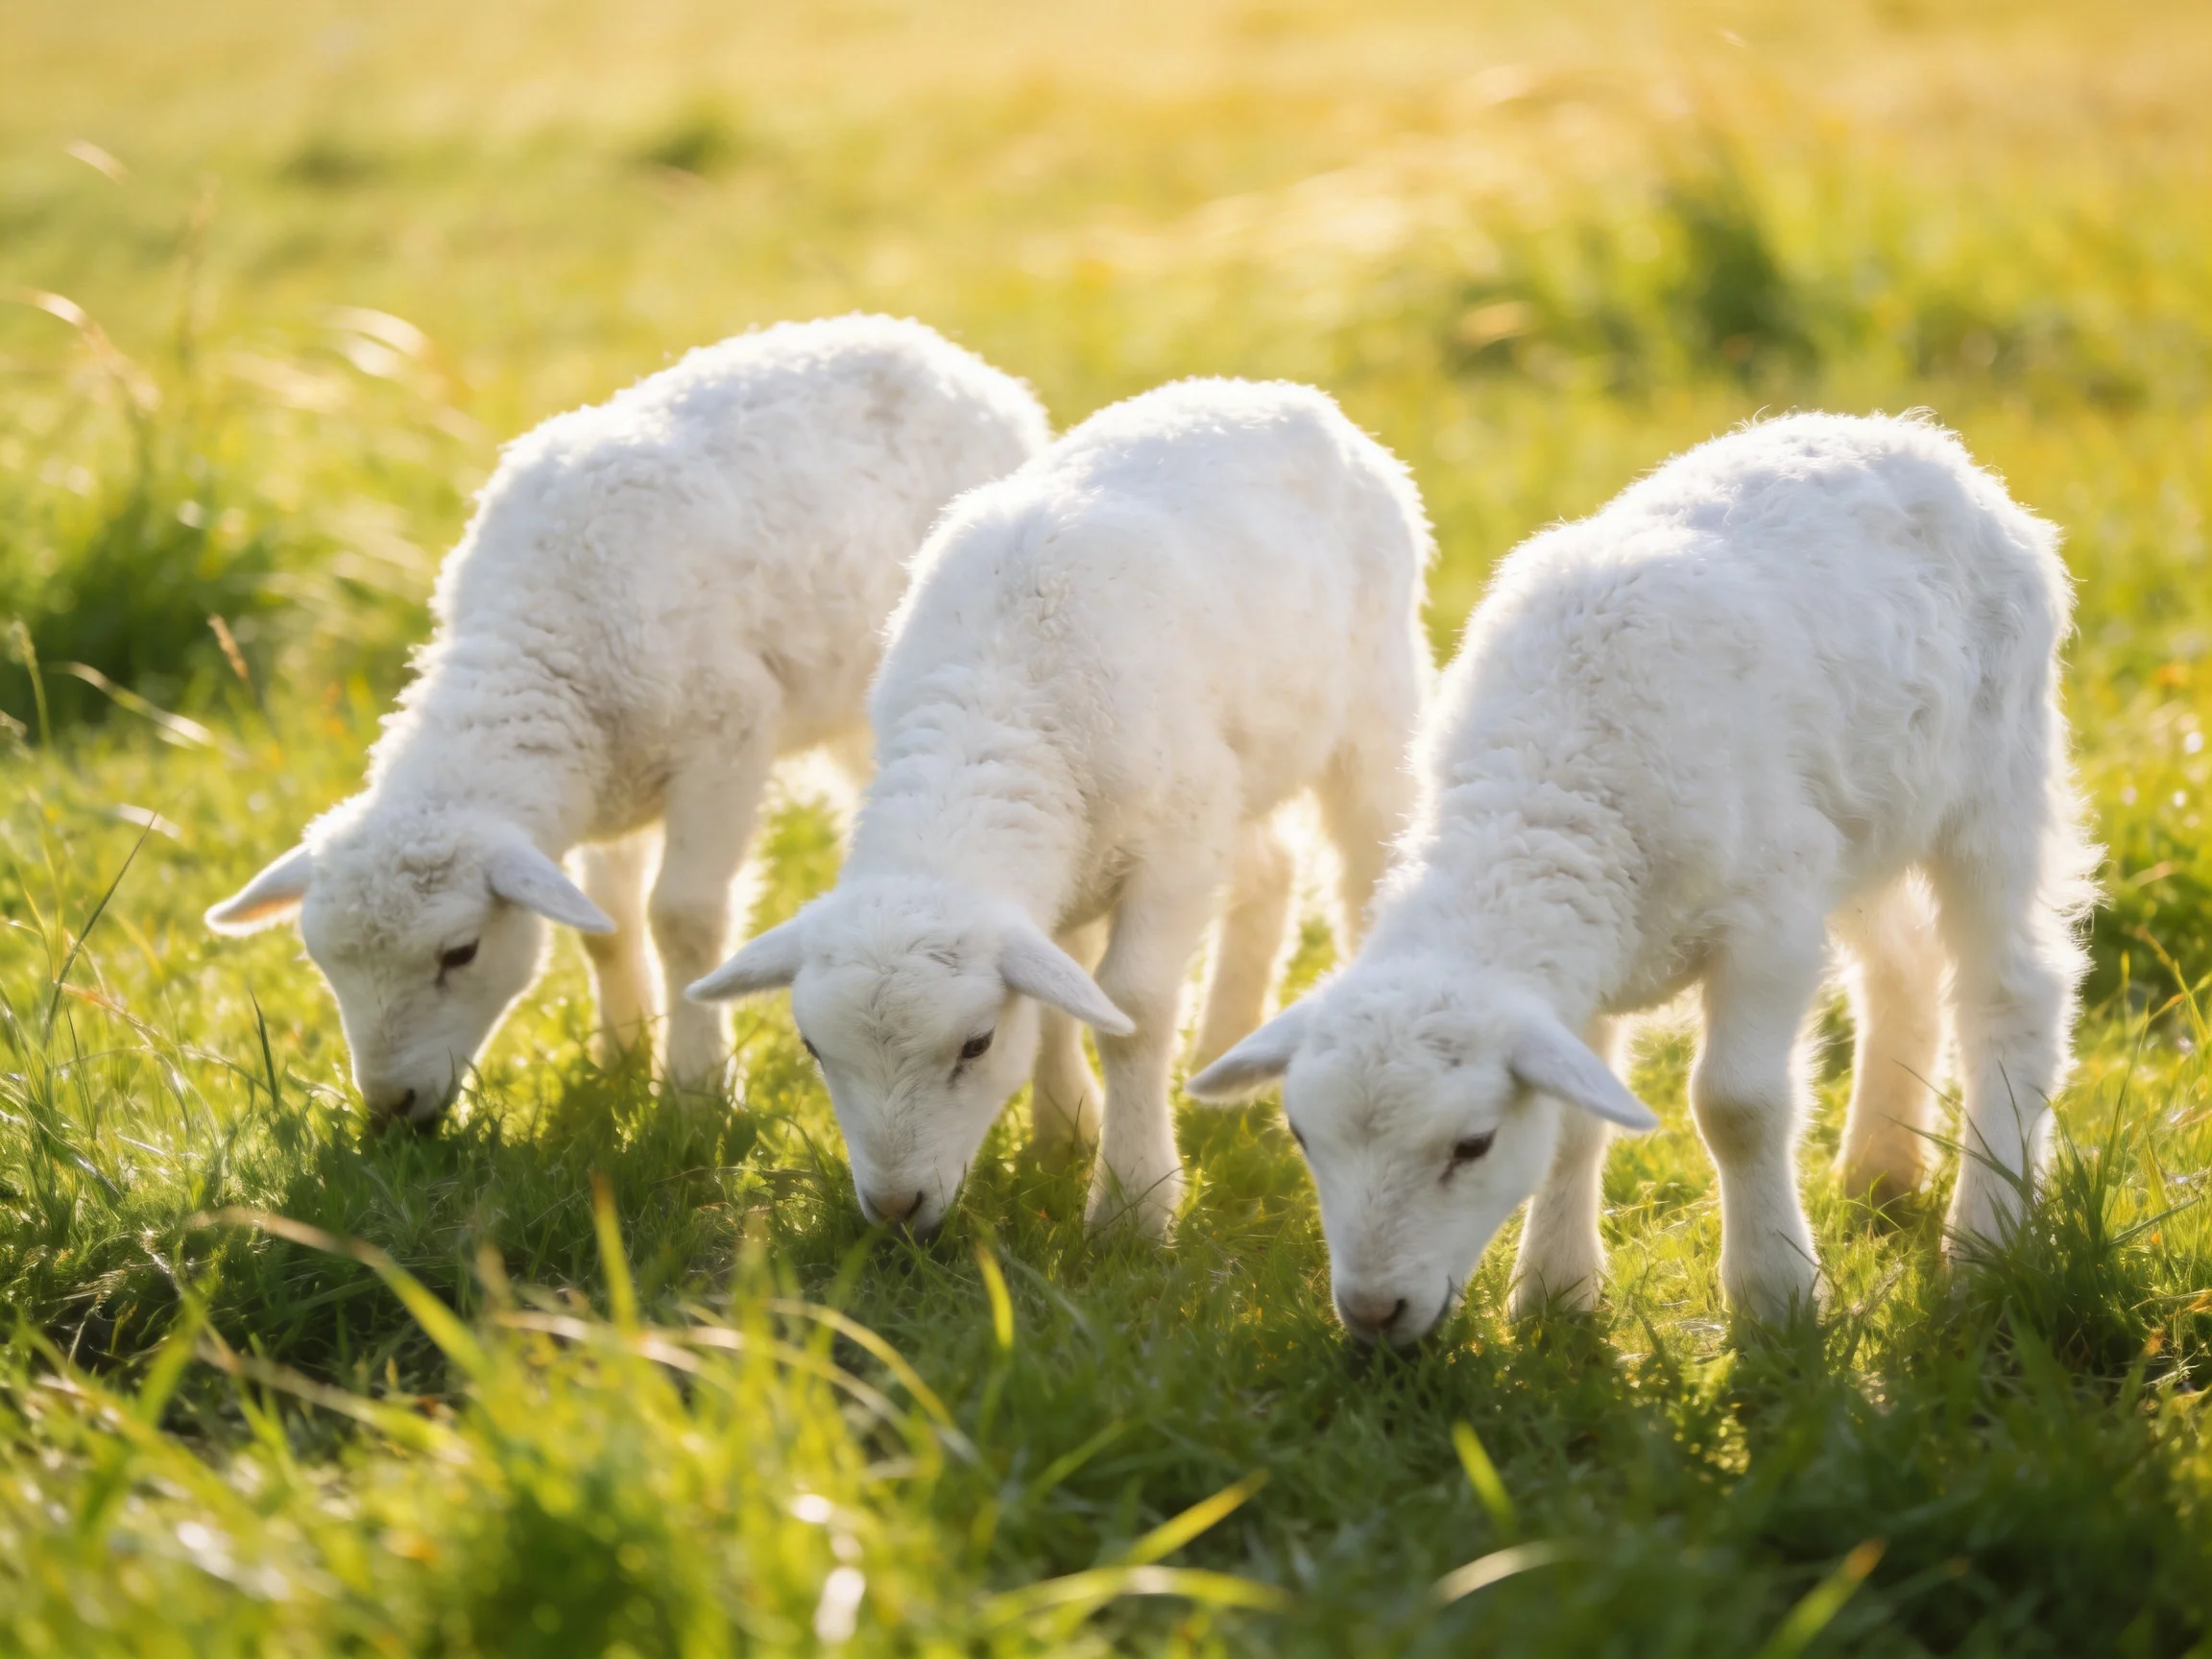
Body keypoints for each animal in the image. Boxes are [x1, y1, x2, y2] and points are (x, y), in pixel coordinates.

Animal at [205, 316, 1049, 1127]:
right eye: (324, 963)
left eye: (460, 952)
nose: (390, 1109)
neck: (543, 643)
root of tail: (934, 347)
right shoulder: (610, 777)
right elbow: (605, 927)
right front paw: (618, 1060)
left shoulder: (726, 737)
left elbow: (683, 918)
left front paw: (698, 1087)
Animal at [688, 378, 1433, 1238]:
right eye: (812, 1049)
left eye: (975, 1046)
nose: (897, 1211)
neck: (992, 716)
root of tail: (1279, 394)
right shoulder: (1087, 853)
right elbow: (1058, 998)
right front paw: (1061, 1136)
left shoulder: (1176, 846)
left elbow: (1133, 1008)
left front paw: (1132, 1206)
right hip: (1239, 766)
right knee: (1270, 872)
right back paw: (1221, 1053)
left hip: (1375, 709)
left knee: (1364, 869)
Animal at [1189, 412, 2096, 1343]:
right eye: (1302, 1136)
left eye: (1471, 1145)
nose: (1374, 1312)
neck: (1548, 795)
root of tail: (1917, 442)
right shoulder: (1587, 965)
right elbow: (1572, 1124)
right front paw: (1554, 1297)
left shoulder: (1768, 924)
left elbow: (1737, 1106)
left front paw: (1774, 1300)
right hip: (1863, 821)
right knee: (1903, 967)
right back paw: (1881, 1172)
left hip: (1994, 778)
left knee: (2012, 991)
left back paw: (1984, 1243)